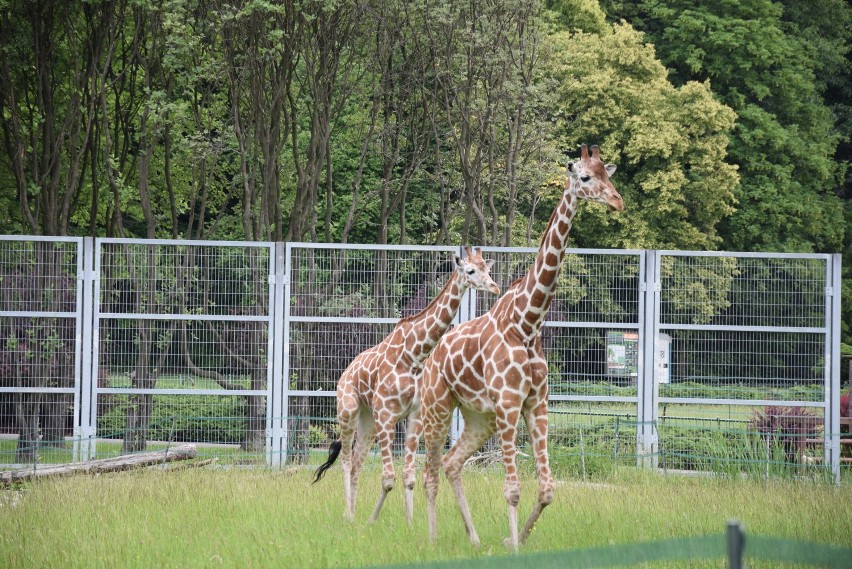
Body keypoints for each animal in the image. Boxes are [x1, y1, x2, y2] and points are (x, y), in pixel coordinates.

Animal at [312, 246, 500, 520]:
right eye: (470, 270)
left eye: (487, 268)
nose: (494, 287)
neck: (414, 356)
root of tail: (345, 373)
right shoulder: (386, 414)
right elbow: (388, 478)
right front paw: (373, 520)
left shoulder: (414, 416)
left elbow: (408, 476)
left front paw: (410, 522)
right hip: (348, 411)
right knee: (346, 460)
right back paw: (349, 515)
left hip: (367, 421)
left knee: (357, 463)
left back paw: (353, 513)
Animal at [416, 143, 624, 552]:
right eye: (585, 177)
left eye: (607, 175)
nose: (617, 202)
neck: (527, 324)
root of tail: (433, 357)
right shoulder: (510, 403)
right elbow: (511, 489)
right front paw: (512, 544)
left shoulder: (536, 404)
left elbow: (547, 488)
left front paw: (515, 539)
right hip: (439, 406)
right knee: (429, 468)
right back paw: (430, 538)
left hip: (479, 417)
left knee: (451, 463)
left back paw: (474, 538)